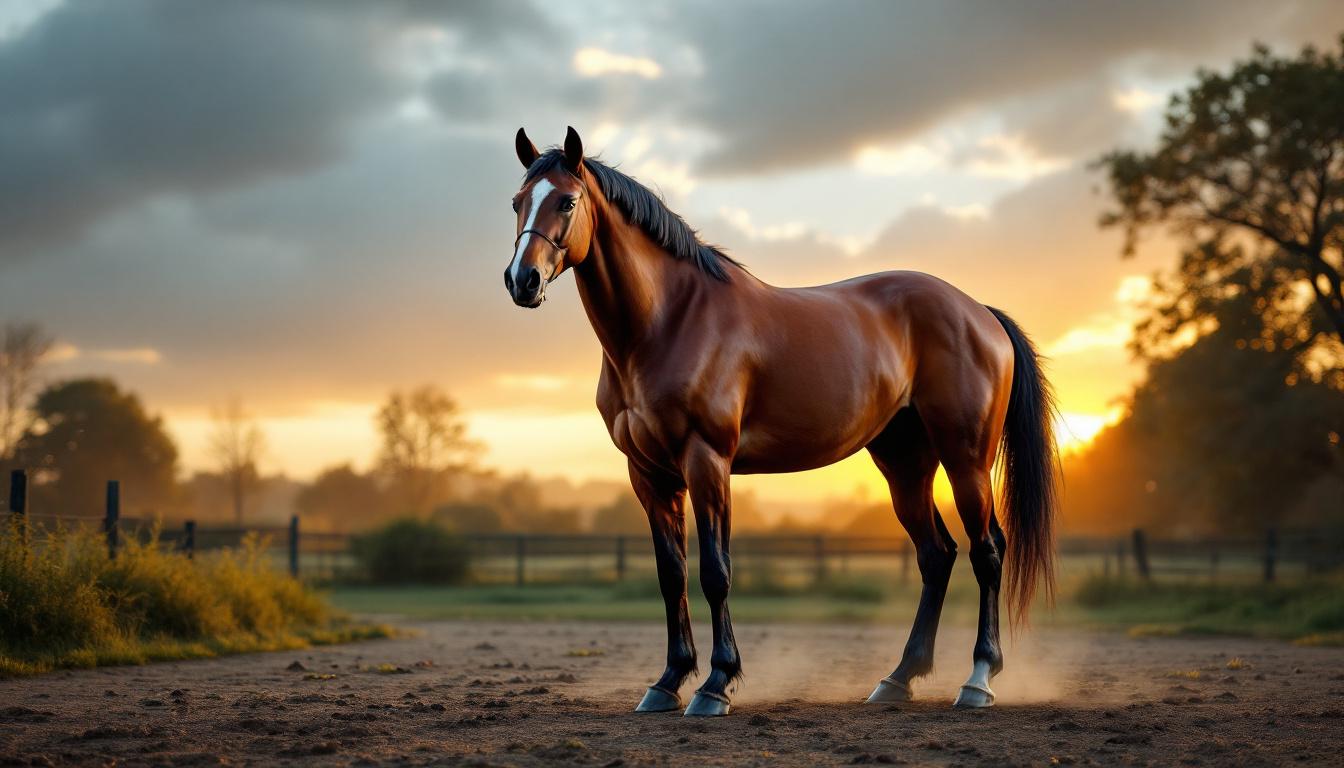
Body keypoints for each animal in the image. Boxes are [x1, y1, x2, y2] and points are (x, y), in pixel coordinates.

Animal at [503, 126, 1059, 717]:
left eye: (567, 201)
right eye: (517, 202)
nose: (522, 281)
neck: (668, 322)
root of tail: (977, 311)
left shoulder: (707, 462)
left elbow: (715, 572)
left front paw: (715, 684)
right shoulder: (648, 475)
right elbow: (671, 575)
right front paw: (668, 681)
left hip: (965, 458)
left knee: (987, 552)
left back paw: (978, 679)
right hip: (905, 463)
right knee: (937, 555)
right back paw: (898, 678)